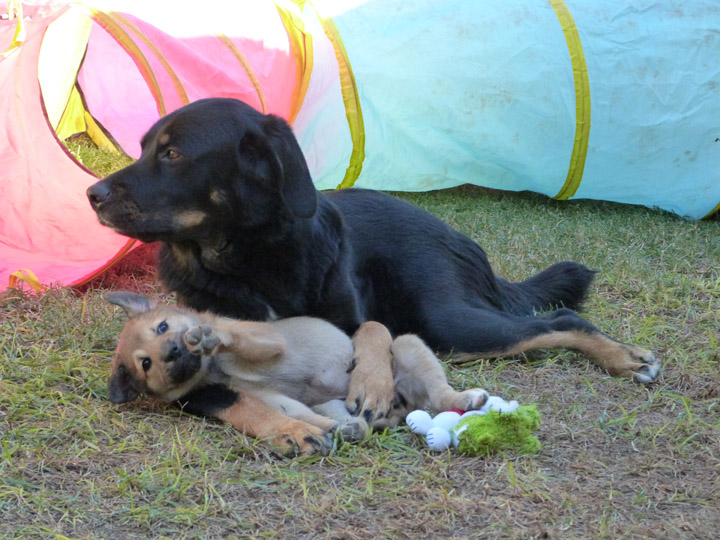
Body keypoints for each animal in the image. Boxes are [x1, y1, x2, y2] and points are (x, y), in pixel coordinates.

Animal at [87, 98, 660, 384]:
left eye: (173, 153)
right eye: (144, 147)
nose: (92, 194)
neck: (251, 257)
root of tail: (457, 237)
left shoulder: (348, 326)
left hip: (445, 321)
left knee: (559, 319)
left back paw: (622, 358)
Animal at [107, 292, 490, 456]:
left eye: (162, 326)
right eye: (146, 364)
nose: (172, 351)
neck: (212, 369)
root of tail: (399, 404)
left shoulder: (267, 340)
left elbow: (239, 339)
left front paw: (210, 337)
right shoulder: (246, 397)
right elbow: (274, 413)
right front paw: (300, 433)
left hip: (409, 346)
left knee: (438, 393)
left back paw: (466, 398)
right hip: (334, 404)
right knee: (348, 418)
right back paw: (350, 427)